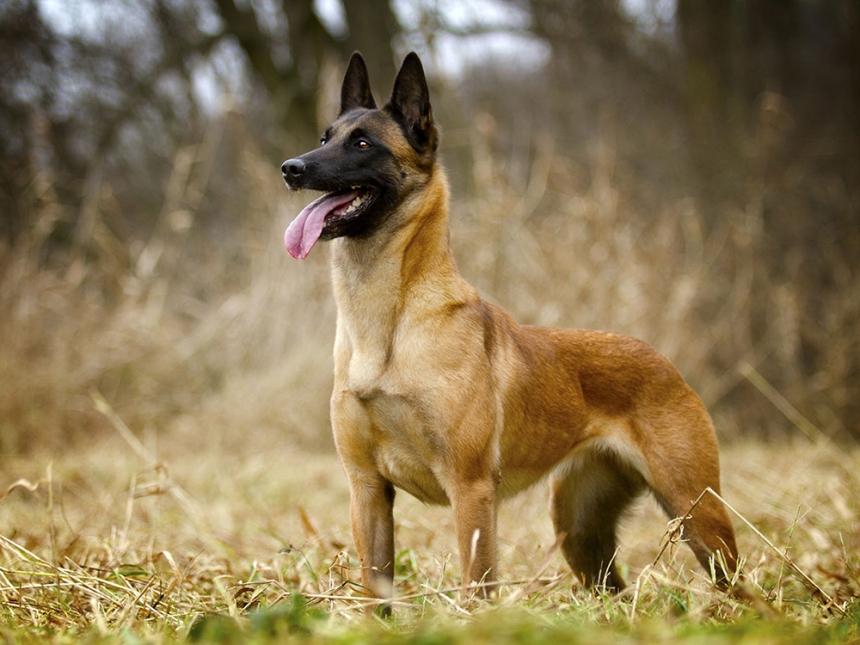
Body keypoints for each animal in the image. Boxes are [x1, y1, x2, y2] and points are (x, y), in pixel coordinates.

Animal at [282, 51, 740, 608]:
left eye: (363, 144)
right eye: (325, 137)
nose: (291, 168)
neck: (386, 326)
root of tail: (662, 360)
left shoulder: (471, 488)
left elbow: (478, 583)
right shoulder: (367, 489)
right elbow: (377, 592)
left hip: (697, 513)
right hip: (580, 529)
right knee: (611, 590)